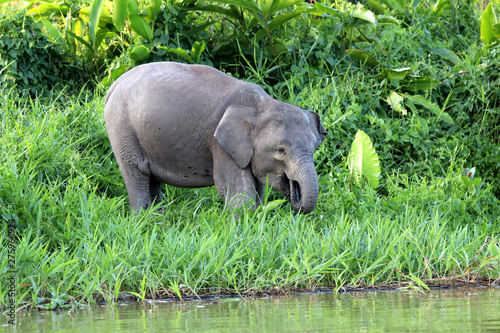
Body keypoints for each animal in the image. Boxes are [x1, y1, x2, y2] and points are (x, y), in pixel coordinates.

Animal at [103, 61, 326, 214]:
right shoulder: (220, 145)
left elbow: (258, 189)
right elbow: (236, 190)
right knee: (137, 173)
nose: (296, 201)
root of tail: (115, 84)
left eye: (314, 149)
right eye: (281, 151)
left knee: (152, 180)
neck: (262, 104)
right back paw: (144, 220)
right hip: (122, 128)